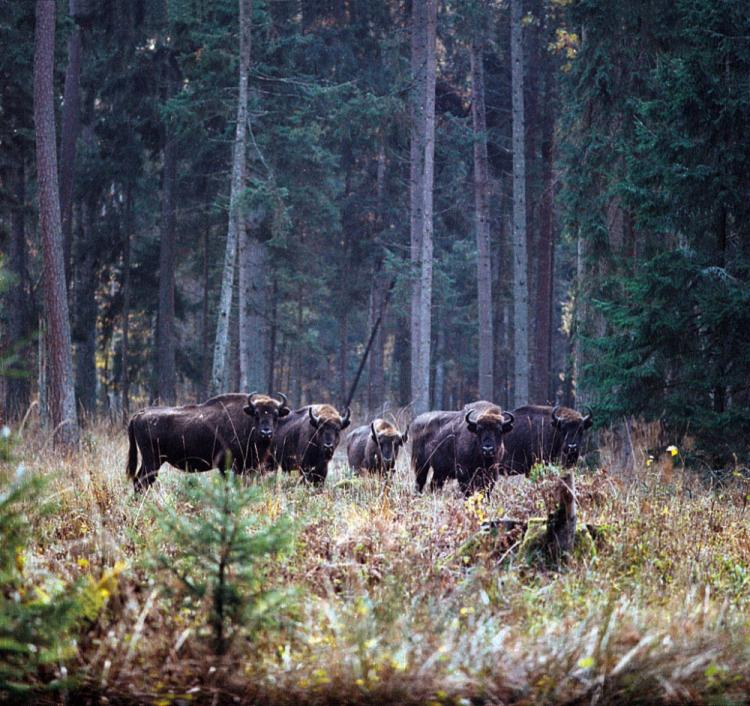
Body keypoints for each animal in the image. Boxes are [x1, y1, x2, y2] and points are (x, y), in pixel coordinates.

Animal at [126, 390, 290, 490]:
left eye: (276, 414)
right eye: (256, 414)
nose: (266, 432)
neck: (246, 419)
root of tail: (139, 414)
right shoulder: (227, 466)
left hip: (152, 460)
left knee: (139, 481)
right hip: (152, 460)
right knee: (143, 481)